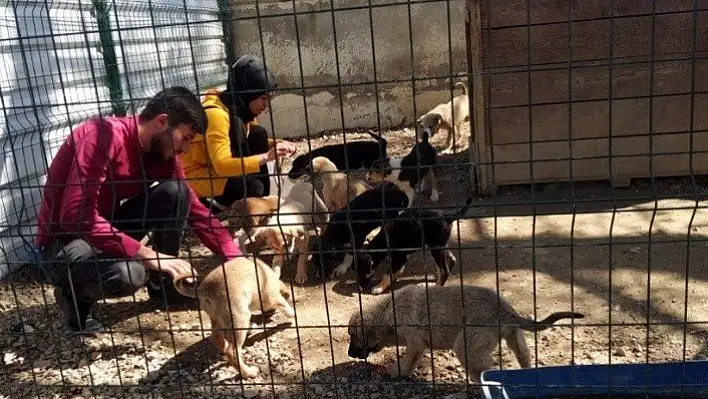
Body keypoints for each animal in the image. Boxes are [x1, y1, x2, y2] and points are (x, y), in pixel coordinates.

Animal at [348, 284, 588, 382]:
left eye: (353, 336)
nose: (349, 354)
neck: (388, 310)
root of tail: (504, 309)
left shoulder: (415, 343)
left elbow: (408, 360)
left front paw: (399, 372)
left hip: (467, 345)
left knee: (483, 372)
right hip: (513, 337)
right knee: (523, 355)